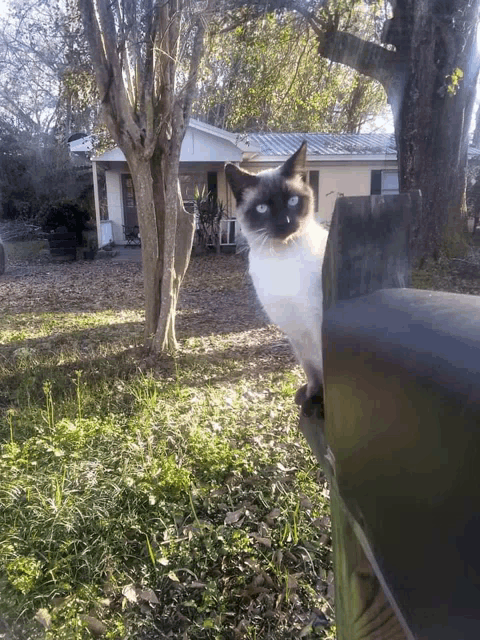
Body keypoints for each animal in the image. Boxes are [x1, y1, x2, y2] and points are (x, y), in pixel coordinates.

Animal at [225, 142, 326, 416]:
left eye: (293, 201)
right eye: (262, 208)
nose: (286, 222)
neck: (281, 262)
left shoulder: (315, 326)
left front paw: (322, 408)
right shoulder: (296, 332)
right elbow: (312, 371)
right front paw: (311, 396)